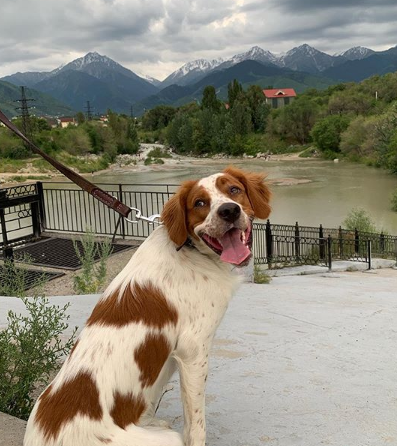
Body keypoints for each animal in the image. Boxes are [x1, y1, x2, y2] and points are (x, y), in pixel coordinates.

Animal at [24, 166, 270, 444]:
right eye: (199, 203)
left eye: (234, 190)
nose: (229, 211)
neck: (189, 251)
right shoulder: (193, 351)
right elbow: (196, 424)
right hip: (167, 438)